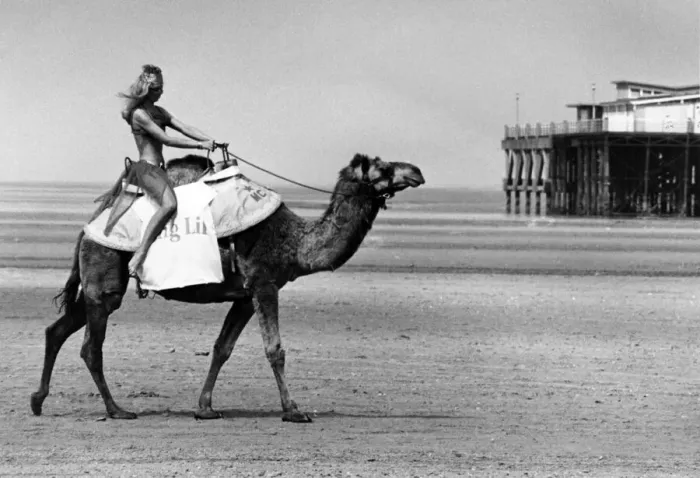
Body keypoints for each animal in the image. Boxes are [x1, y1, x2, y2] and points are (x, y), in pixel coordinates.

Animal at [30, 153, 425, 421]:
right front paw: (294, 410)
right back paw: (116, 410)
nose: (417, 171)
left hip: (97, 283)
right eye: (381, 167)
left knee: (57, 330)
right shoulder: (265, 282)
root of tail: (88, 227)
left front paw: (205, 408)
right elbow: (275, 350)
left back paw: (37, 400)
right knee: (91, 347)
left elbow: (222, 348)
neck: (293, 241)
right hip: (106, 271)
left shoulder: (247, 295)